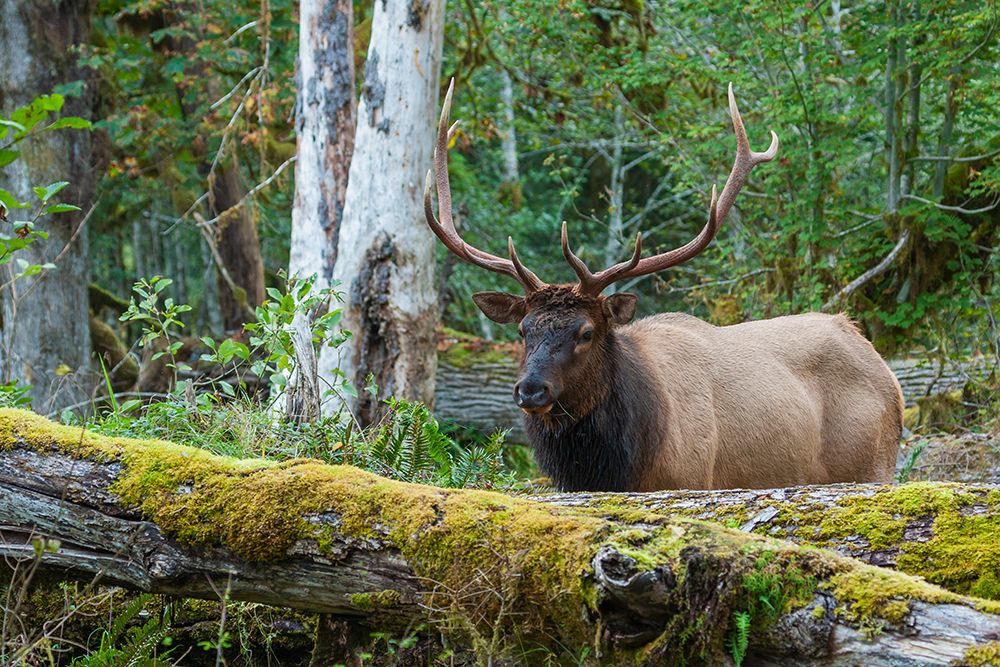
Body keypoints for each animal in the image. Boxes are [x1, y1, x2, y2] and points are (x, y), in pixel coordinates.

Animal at [423, 81, 904, 492]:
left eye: (586, 332)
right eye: (524, 330)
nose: (531, 389)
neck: (619, 466)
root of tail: (888, 374)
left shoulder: (691, 480)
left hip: (872, 466)